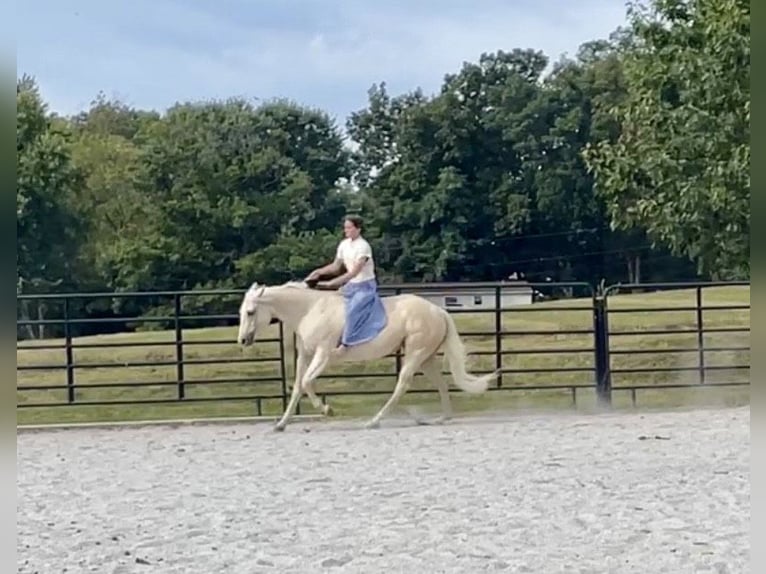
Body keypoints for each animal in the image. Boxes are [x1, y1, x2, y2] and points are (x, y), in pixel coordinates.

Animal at [237, 281, 497, 431]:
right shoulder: (306, 356)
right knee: (441, 384)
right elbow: (298, 387)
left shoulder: (323, 355)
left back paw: (374, 421)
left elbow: (308, 382)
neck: (310, 310)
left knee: (402, 385)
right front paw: (281, 424)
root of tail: (438, 310)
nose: (242, 340)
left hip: (415, 355)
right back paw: (442, 419)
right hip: (426, 358)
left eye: (250, 312)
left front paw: (327, 410)